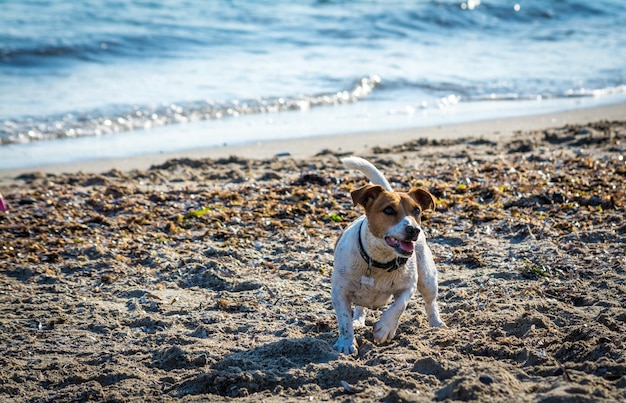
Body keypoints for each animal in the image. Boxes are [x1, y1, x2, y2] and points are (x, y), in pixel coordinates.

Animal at [332, 156, 444, 356]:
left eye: (416, 211)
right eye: (389, 210)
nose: (414, 230)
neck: (379, 261)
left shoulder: (409, 286)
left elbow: (399, 306)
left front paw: (384, 329)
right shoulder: (339, 291)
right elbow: (344, 320)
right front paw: (346, 343)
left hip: (428, 279)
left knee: (431, 302)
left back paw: (436, 324)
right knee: (359, 307)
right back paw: (358, 320)